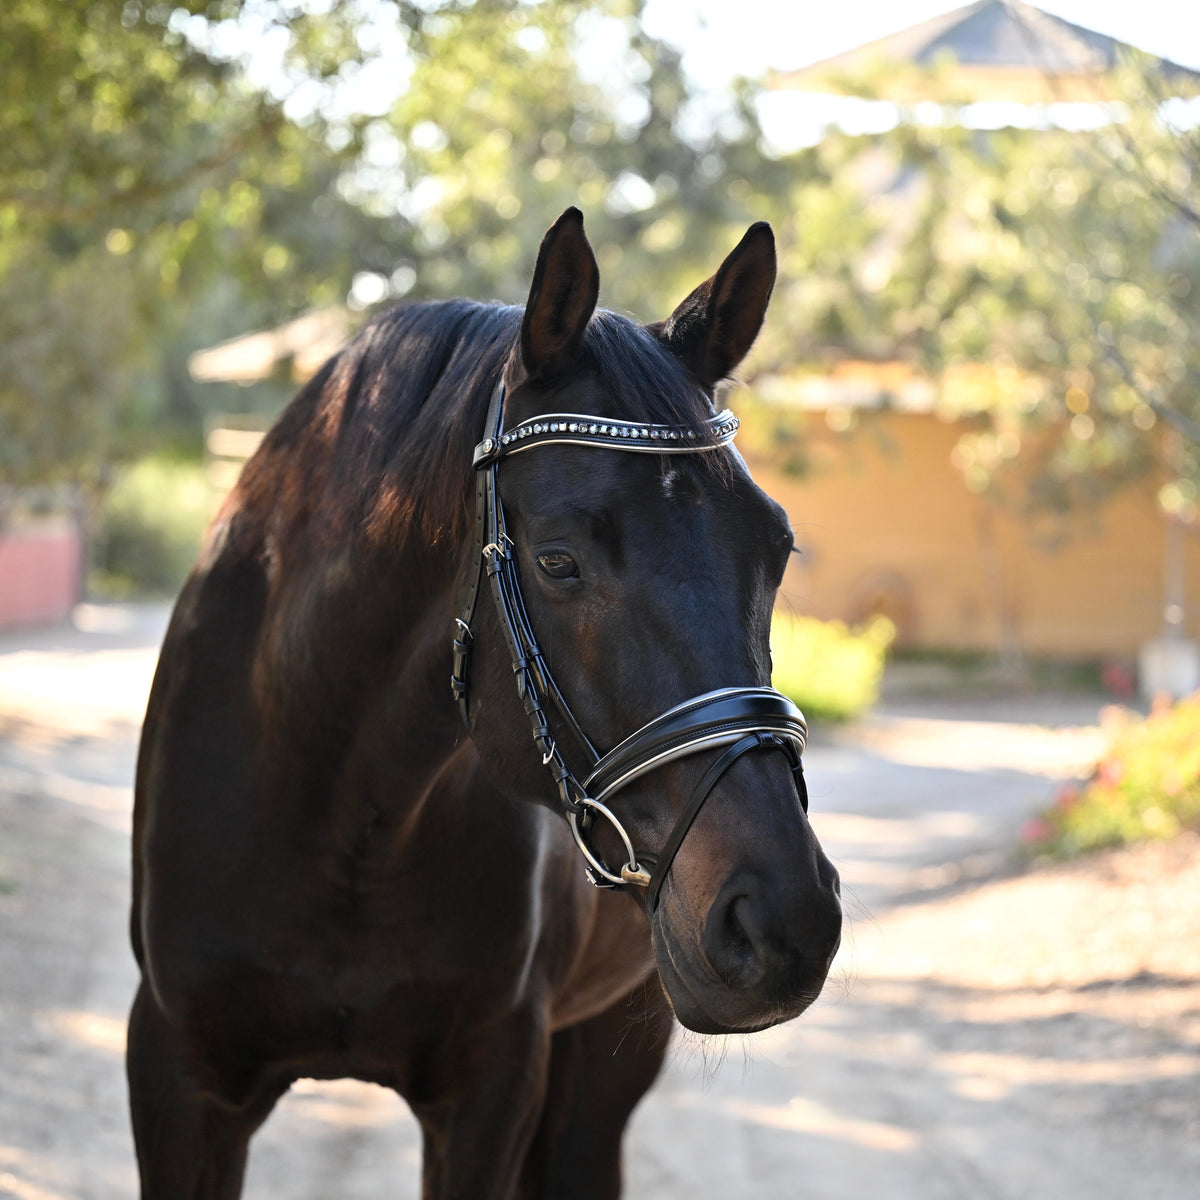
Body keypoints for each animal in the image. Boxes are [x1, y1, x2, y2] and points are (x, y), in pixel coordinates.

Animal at [129, 211, 844, 1195]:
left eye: (776, 549)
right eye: (557, 561)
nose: (786, 921)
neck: (340, 815)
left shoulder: (491, 1091)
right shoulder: (179, 1078)